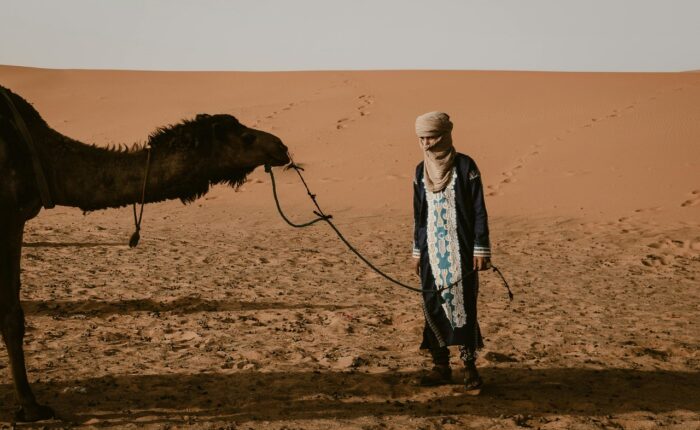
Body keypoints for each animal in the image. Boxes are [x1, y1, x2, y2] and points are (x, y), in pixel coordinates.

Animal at [0, 85, 290, 421]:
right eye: (245, 137)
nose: (281, 146)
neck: (45, 159)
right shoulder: (8, 216)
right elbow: (11, 314)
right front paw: (31, 407)